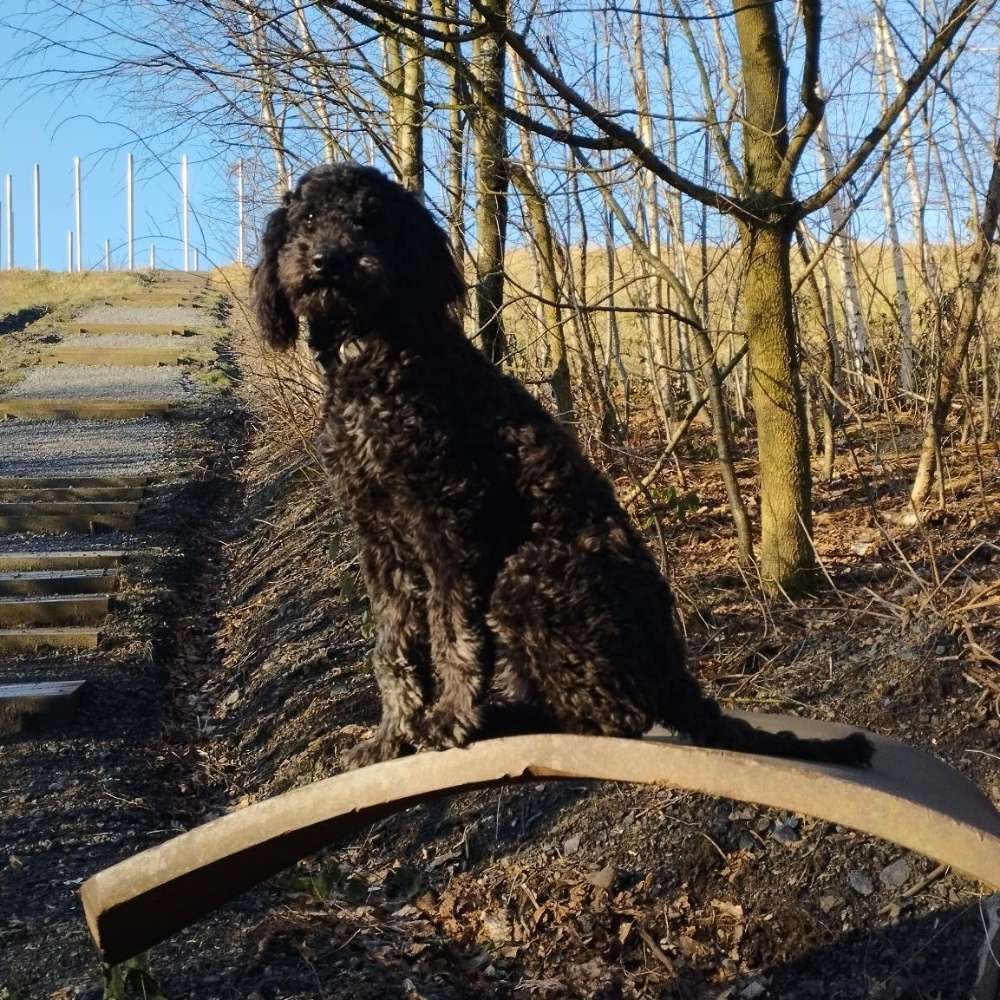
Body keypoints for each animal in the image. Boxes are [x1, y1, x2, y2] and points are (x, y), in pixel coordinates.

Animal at [254, 166, 872, 772]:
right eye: (307, 219)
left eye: (371, 219)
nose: (327, 260)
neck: (375, 358)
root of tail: (675, 675)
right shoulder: (380, 539)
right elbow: (393, 645)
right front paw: (391, 735)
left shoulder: (448, 521)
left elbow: (452, 633)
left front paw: (449, 719)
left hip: (526, 574)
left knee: (614, 717)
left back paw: (502, 719)